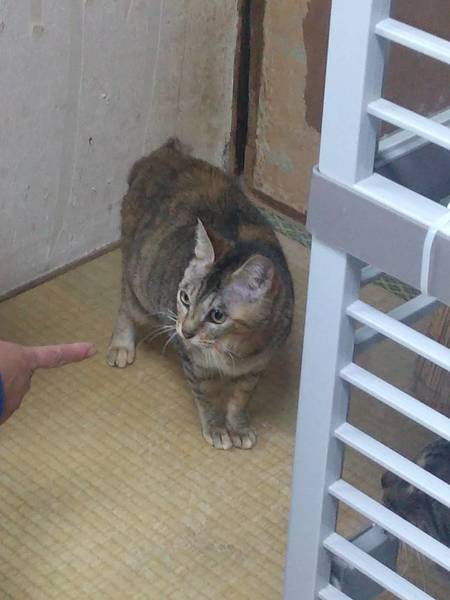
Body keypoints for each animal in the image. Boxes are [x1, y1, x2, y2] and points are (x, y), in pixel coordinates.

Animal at [107, 138, 294, 450]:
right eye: (185, 298)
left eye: (217, 315)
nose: (185, 330)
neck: (234, 348)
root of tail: (162, 154)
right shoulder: (195, 364)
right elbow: (207, 395)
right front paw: (217, 427)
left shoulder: (255, 368)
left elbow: (240, 400)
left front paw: (238, 427)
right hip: (139, 283)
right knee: (125, 305)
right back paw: (122, 345)